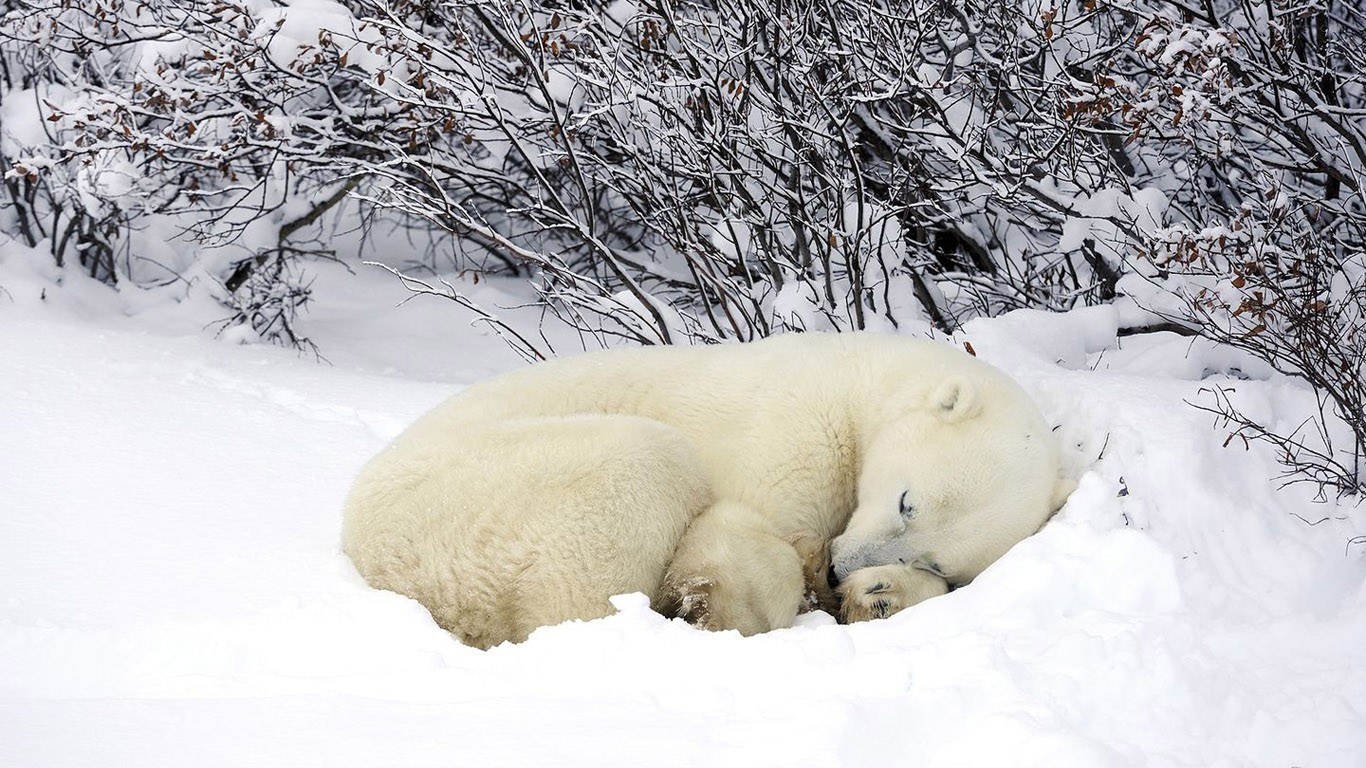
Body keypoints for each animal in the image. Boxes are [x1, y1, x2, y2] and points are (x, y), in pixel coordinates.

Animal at [342, 331, 1072, 648]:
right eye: (905, 500)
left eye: (936, 558)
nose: (841, 569)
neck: (862, 383)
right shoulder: (794, 428)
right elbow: (740, 528)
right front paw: (727, 603)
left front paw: (880, 596)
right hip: (472, 498)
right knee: (641, 469)